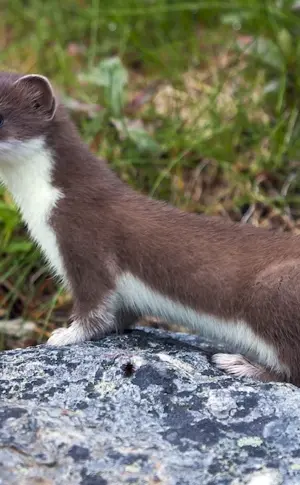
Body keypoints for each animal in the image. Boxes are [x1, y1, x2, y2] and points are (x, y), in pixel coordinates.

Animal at [0, 71, 300, 386]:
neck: (40, 208)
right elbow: (120, 314)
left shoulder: (85, 244)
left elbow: (95, 309)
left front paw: (64, 335)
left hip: (273, 290)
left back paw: (239, 363)